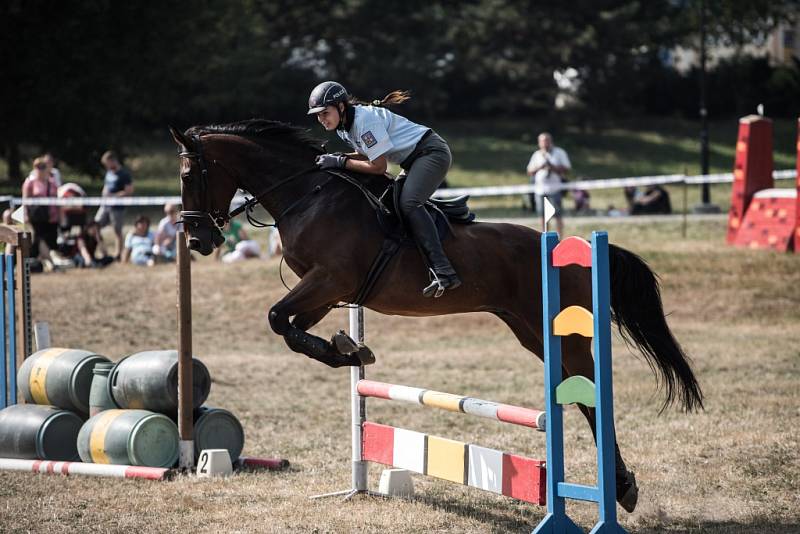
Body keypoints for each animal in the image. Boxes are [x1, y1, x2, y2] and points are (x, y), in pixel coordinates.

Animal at [169, 120, 700, 516]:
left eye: (190, 176)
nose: (197, 240)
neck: (307, 193)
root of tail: (570, 249)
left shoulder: (329, 279)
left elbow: (278, 318)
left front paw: (351, 350)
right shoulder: (325, 291)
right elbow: (290, 327)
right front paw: (351, 350)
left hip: (558, 332)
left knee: (588, 393)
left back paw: (622, 487)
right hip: (529, 330)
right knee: (576, 390)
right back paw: (620, 486)